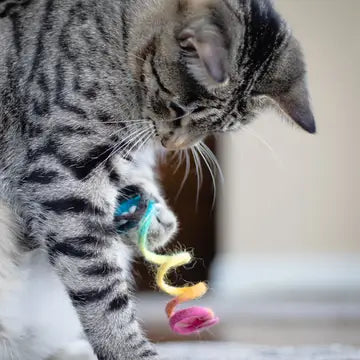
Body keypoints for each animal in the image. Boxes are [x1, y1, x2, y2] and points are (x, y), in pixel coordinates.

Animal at [0, 0, 316, 358]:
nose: (173, 144)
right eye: (178, 109)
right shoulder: (64, 178)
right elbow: (101, 291)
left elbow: (137, 187)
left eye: (220, 129)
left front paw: (154, 221)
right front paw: (131, 351)